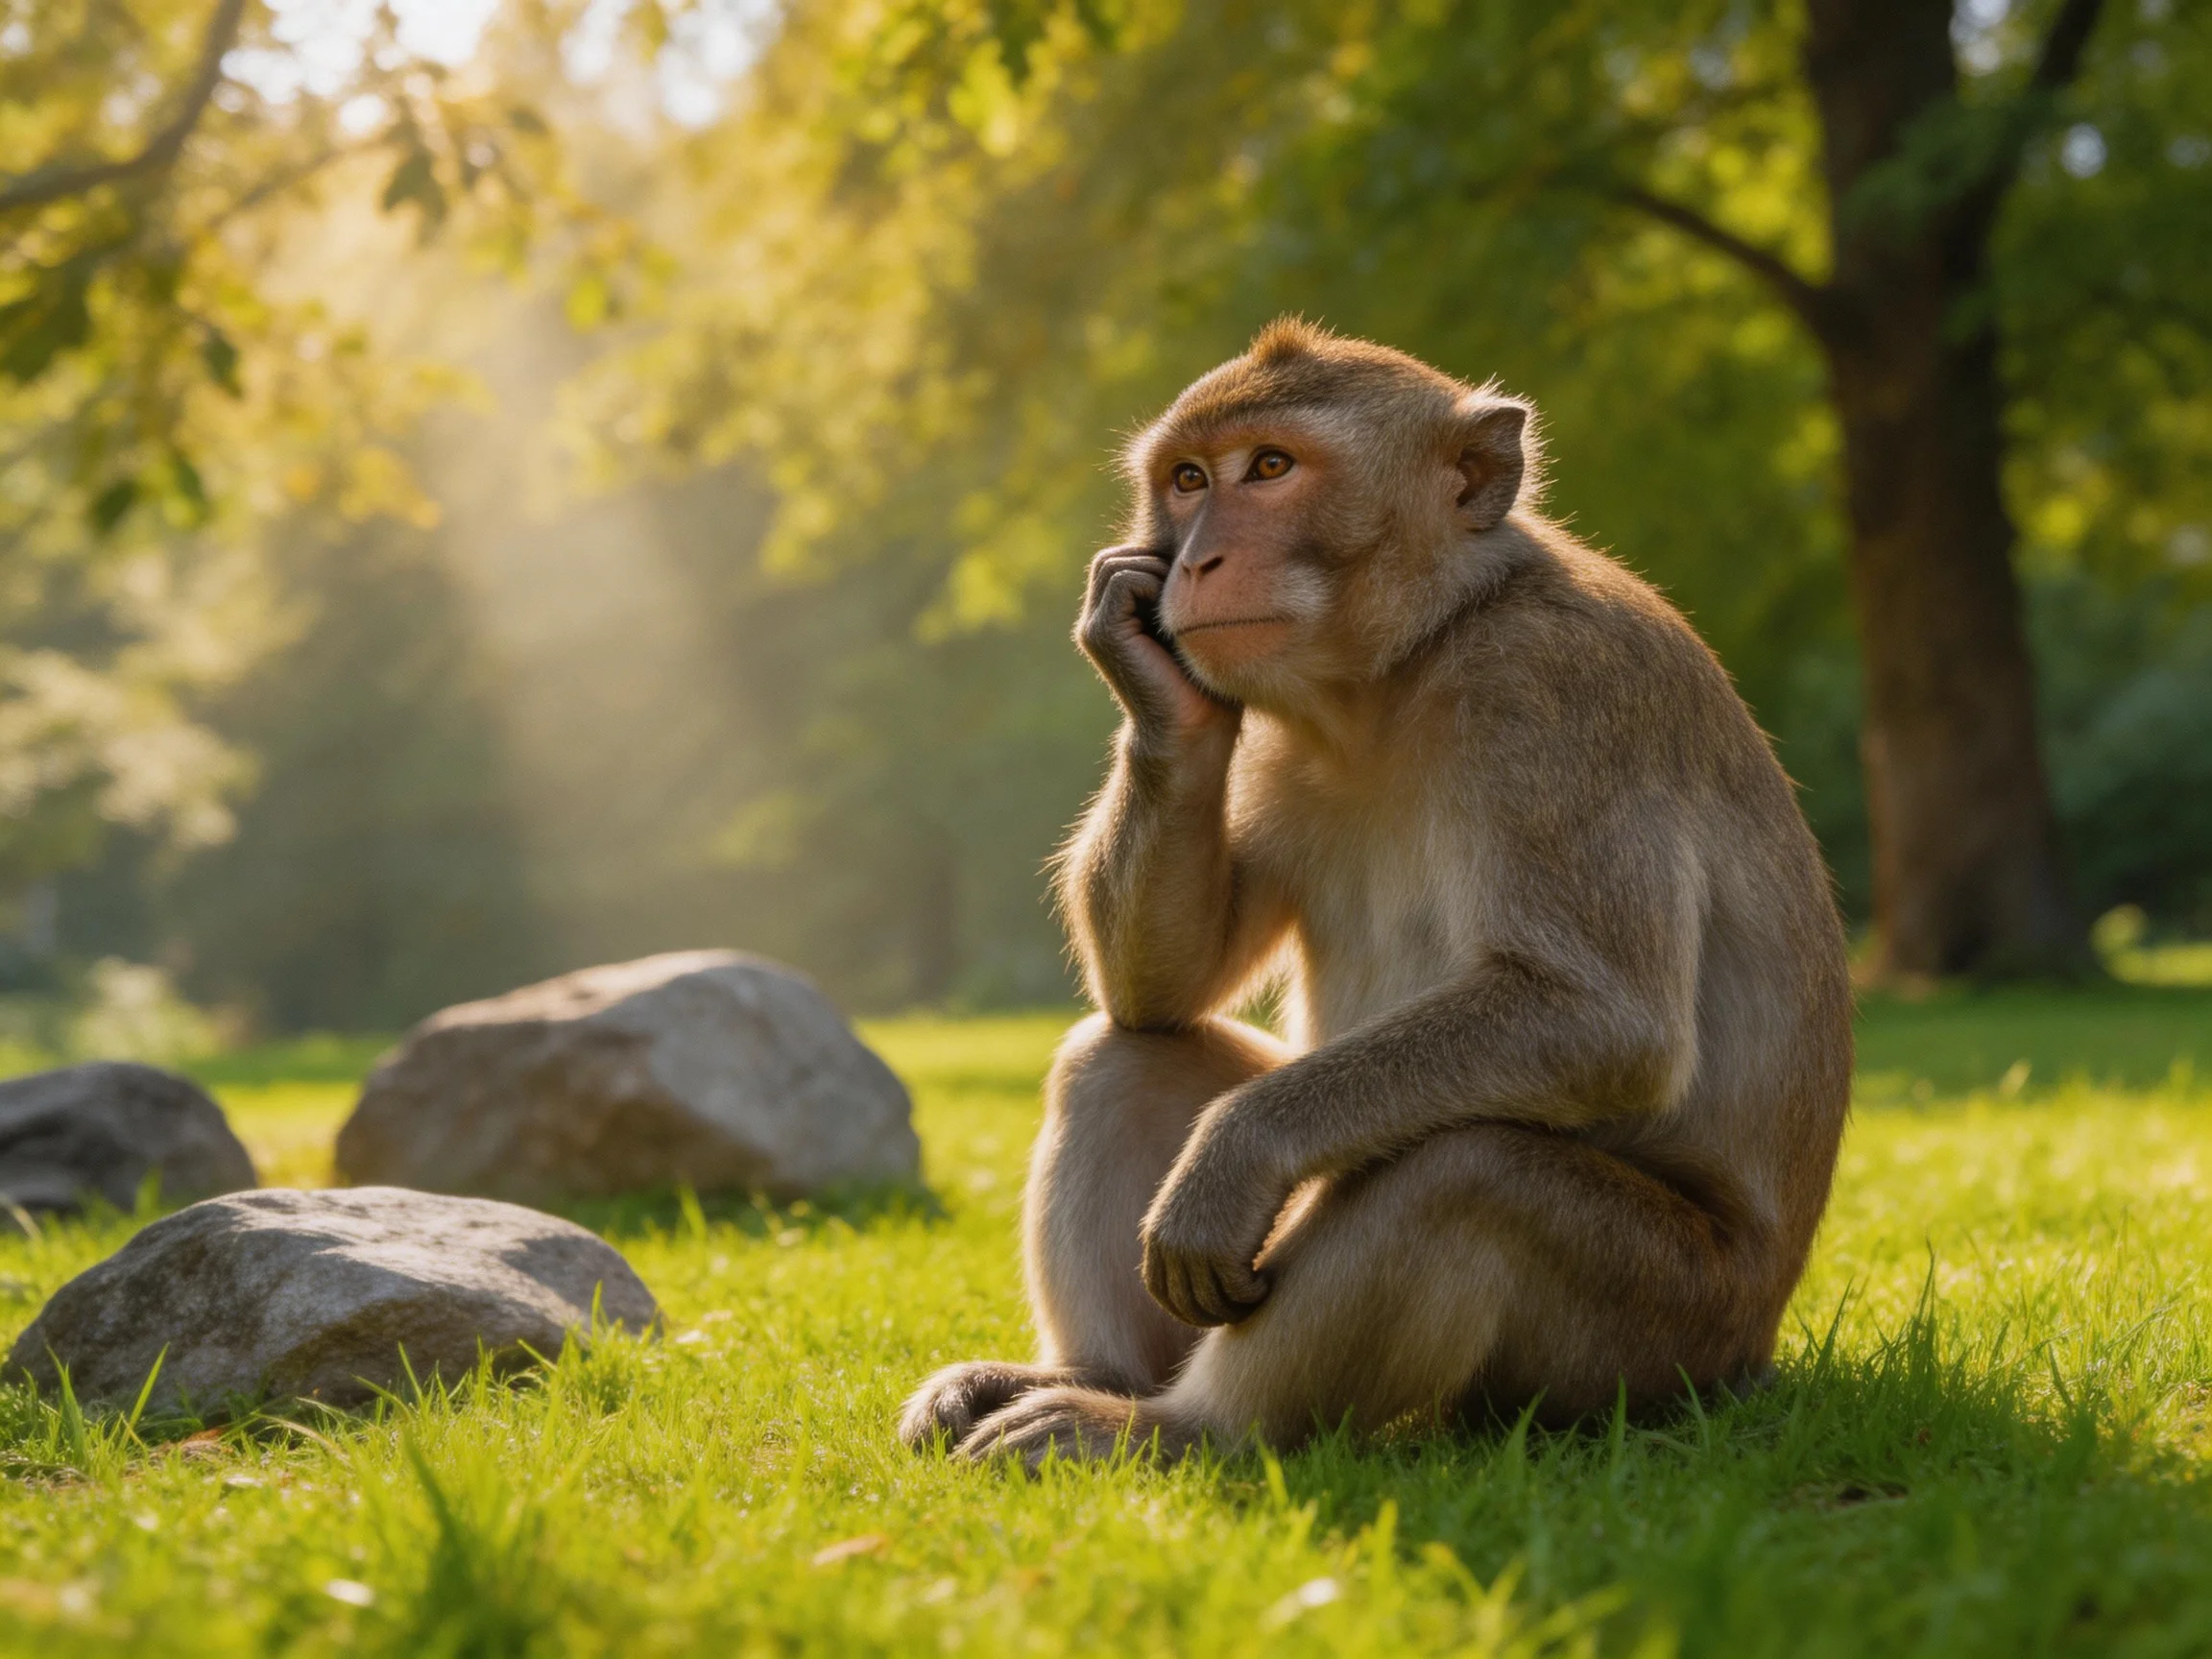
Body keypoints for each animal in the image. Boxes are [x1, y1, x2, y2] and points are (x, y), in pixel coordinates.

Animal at [897, 319, 1852, 1467]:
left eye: (1270, 468)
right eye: (1187, 479)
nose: (1199, 558)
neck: (1406, 661)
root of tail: (1756, 1344)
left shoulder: (1551, 692)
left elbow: (1604, 1019)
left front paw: (1235, 1154)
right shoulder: (1267, 730)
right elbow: (1168, 986)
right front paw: (1141, 665)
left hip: (1661, 1334)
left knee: (1467, 1168)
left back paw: (1180, 1428)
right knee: (1120, 1051)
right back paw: (1100, 1378)